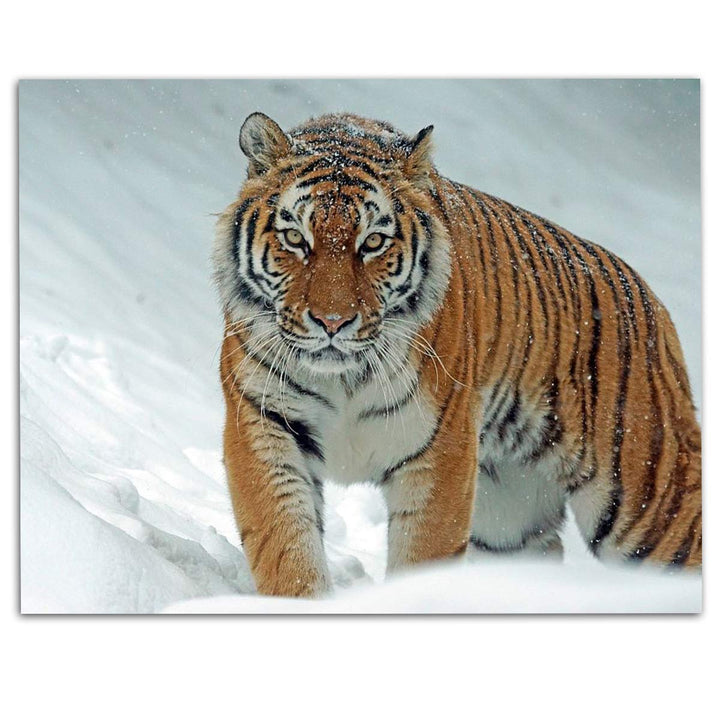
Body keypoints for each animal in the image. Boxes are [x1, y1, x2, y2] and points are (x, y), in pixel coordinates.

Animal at [213, 111, 702, 597]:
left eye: (372, 243)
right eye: (295, 238)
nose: (332, 322)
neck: (343, 378)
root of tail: (653, 304)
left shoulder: (439, 450)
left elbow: (422, 555)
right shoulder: (265, 423)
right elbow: (286, 545)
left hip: (651, 506)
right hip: (508, 519)